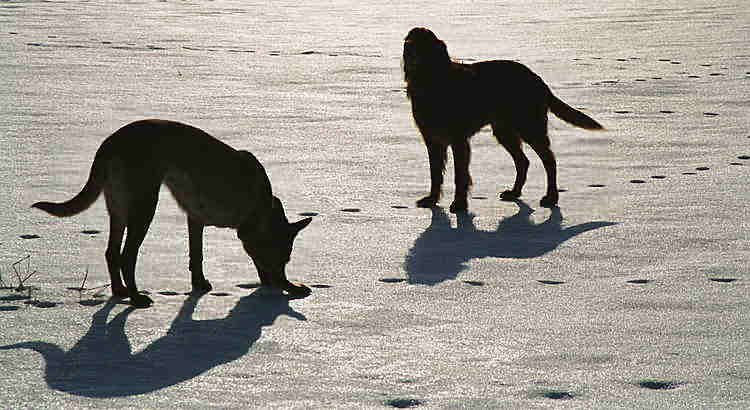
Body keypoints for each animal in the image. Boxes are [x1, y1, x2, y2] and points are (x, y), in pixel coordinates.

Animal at [32, 118, 312, 308]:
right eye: (281, 257)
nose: (275, 285)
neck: (266, 204)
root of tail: (111, 142)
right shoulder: (247, 231)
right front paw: (291, 287)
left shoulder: (195, 218)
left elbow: (196, 255)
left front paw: (199, 286)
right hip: (144, 207)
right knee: (126, 256)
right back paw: (136, 297)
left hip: (118, 208)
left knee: (111, 252)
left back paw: (120, 291)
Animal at [406, 26, 604, 211]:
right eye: (409, 42)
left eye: (424, 44)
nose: (411, 54)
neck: (431, 81)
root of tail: (538, 80)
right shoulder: (432, 139)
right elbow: (435, 174)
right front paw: (431, 199)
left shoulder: (458, 140)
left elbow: (460, 175)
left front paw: (459, 204)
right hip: (504, 131)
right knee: (523, 161)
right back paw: (514, 192)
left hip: (529, 127)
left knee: (549, 161)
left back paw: (551, 197)